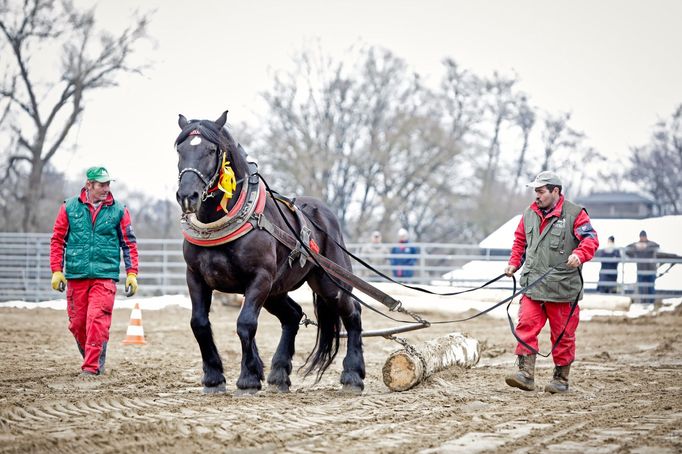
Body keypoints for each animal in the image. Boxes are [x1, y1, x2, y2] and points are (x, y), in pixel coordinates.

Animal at [175, 110, 366, 394]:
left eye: (210, 150)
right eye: (180, 150)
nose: (188, 195)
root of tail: (324, 214)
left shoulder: (260, 278)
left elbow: (245, 324)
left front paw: (248, 379)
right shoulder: (196, 277)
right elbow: (199, 323)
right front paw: (214, 378)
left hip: (329, 284)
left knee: (353, 312)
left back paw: (353, 375)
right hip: (276, 291)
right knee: (293, 316)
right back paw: (279, 374)